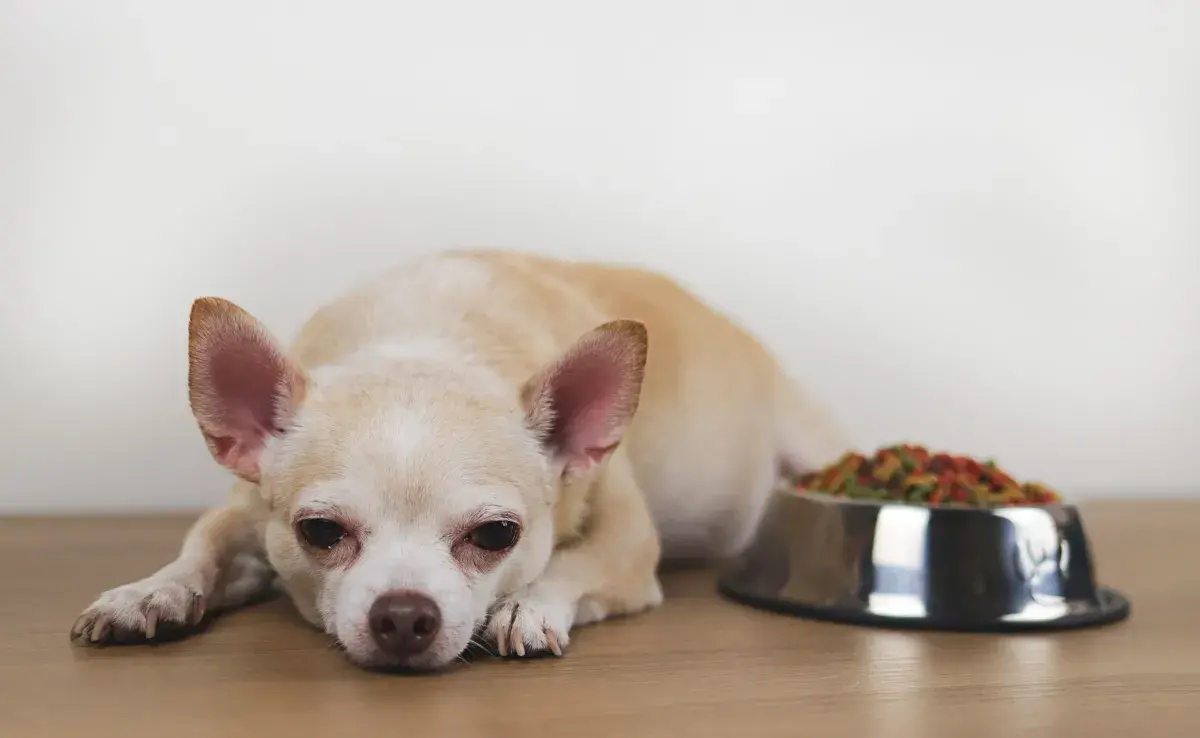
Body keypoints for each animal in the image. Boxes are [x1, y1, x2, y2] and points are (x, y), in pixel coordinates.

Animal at [70, 249, 849, 672]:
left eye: (497, 535)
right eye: (319, 532)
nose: (402, 615)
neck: (425, 339)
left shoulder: (630, 546)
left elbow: (573, 563)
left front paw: (527, 605)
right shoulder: (245, 510)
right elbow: (200, 545)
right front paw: (150, 593)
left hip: (812, 442)